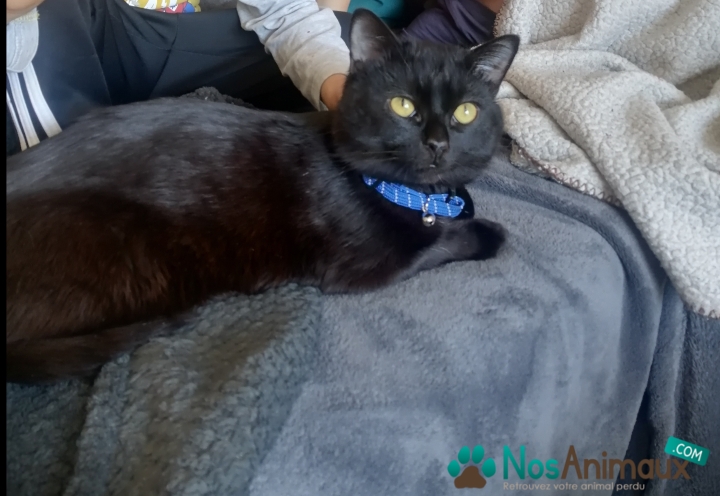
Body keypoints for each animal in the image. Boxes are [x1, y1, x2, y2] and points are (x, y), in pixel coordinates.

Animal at [6, 9, 519, 382]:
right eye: (402, 105)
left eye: (466, 112)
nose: (437, 144)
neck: (412, 196)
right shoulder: (367, 266)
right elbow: (440, 243)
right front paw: (487, 232)